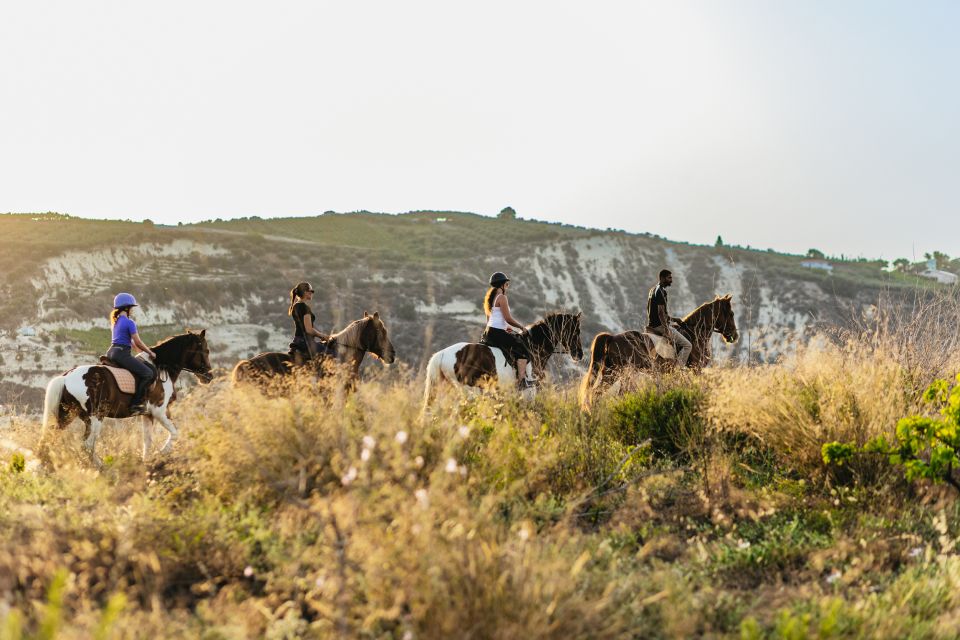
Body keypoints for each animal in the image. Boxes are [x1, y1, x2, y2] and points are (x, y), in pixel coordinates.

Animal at [422, 312, 584, 410]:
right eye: (576, 331)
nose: (579, 354)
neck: (533, 346)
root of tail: (442, 353)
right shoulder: (529, 390)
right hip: (467, 389)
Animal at [576, 294, 744, 408]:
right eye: (731, 314)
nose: (734, 336)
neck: (696, 332)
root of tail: (612, 338)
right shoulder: (696, 369)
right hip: (618, 371)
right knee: (600, 392)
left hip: (613, 371)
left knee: (600, 392)